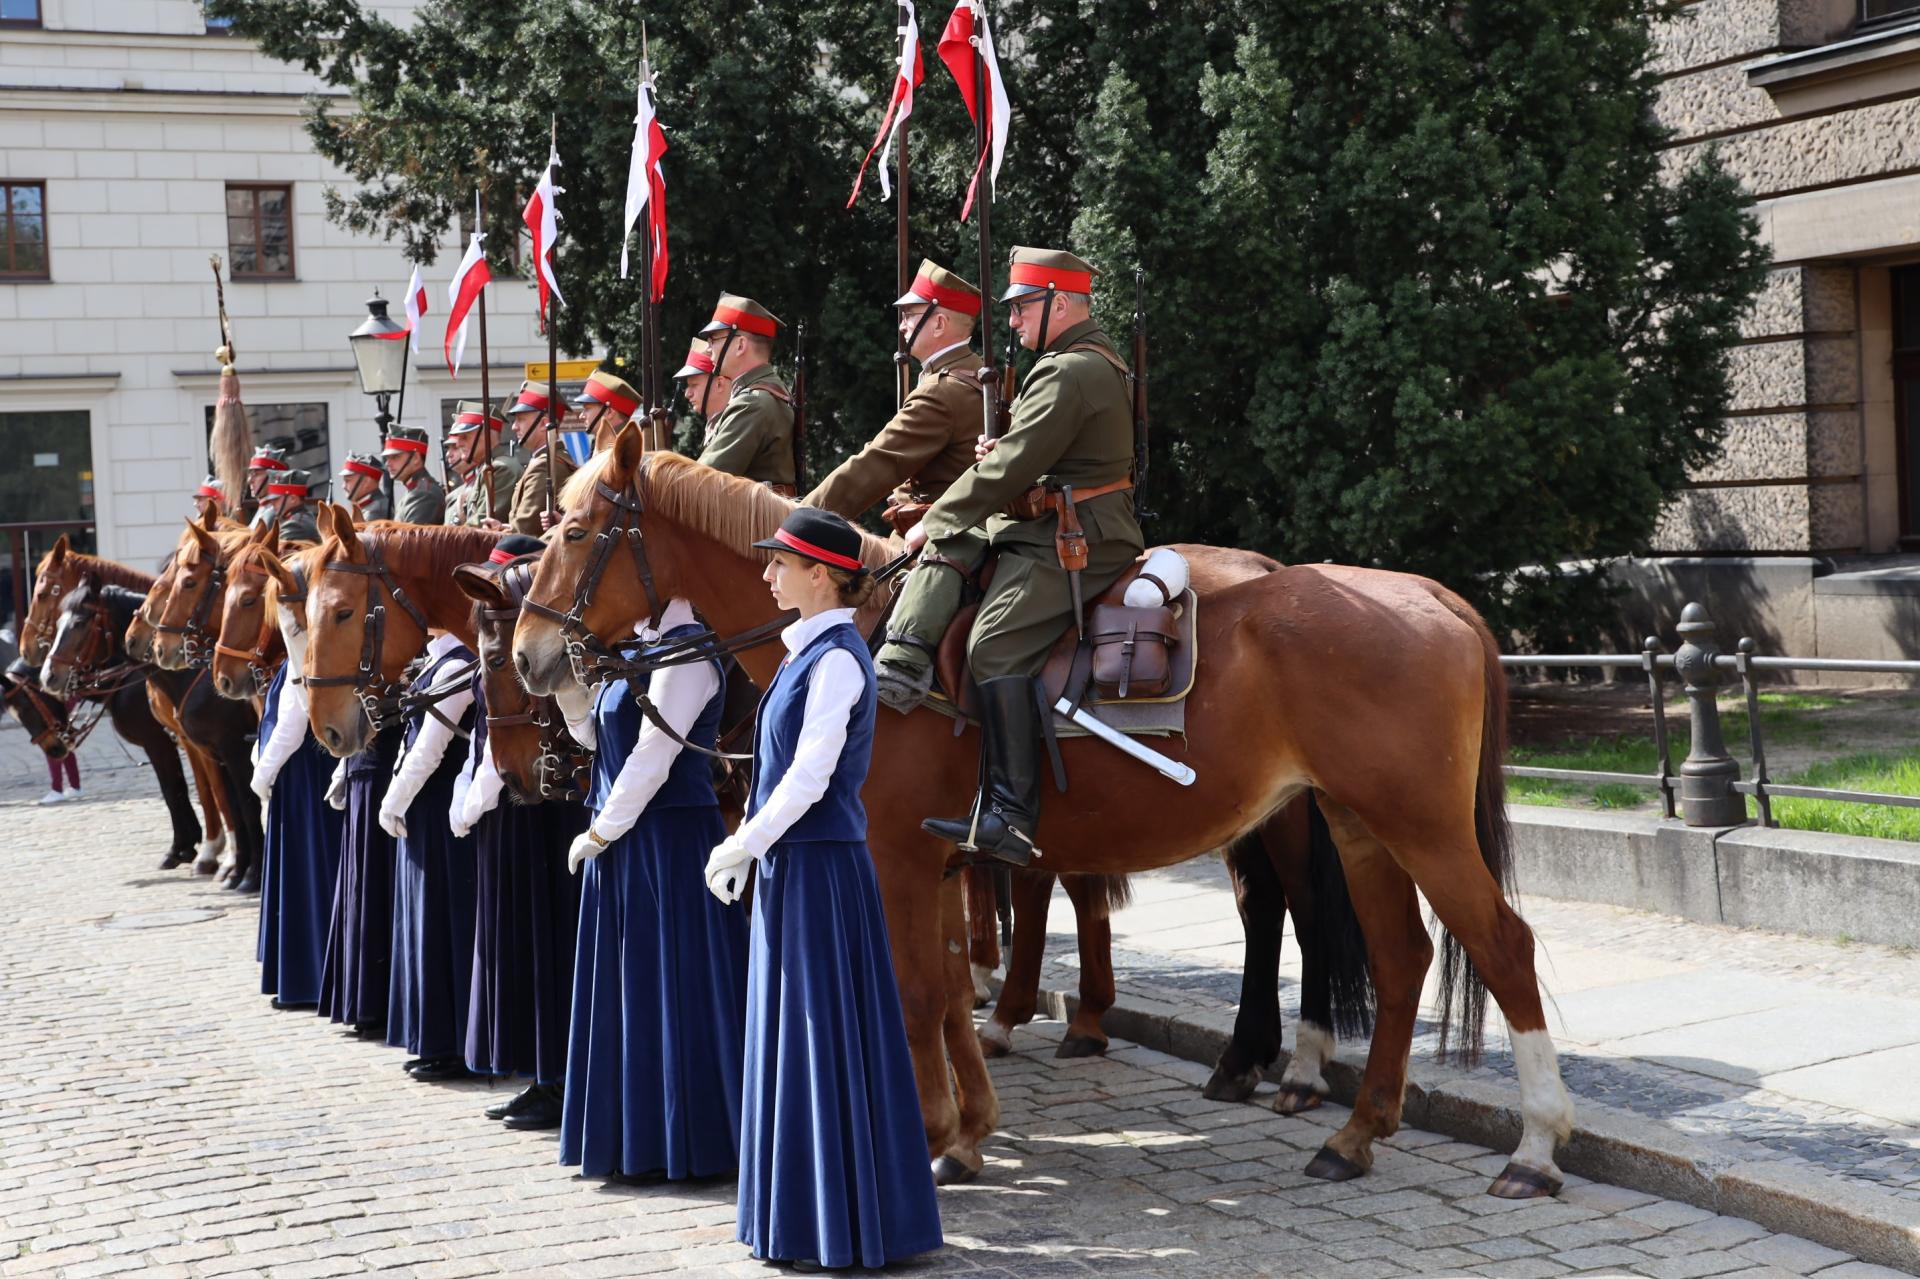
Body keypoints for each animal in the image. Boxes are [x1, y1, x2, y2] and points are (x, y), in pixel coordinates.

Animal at [514, 428, 1574, 1198]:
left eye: (577, 533)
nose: (531, 655)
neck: (864, 632)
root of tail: (1429, 594)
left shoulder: (899, 861)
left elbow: (918, 992)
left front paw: (933, 1133)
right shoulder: (936, 864)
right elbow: (949, 990)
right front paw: (965, 1129)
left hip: (1417, 828)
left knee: (1500, 944)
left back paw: (1533, 1143)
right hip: (1360, 827)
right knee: (1399, 957)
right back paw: (1356, 1132)